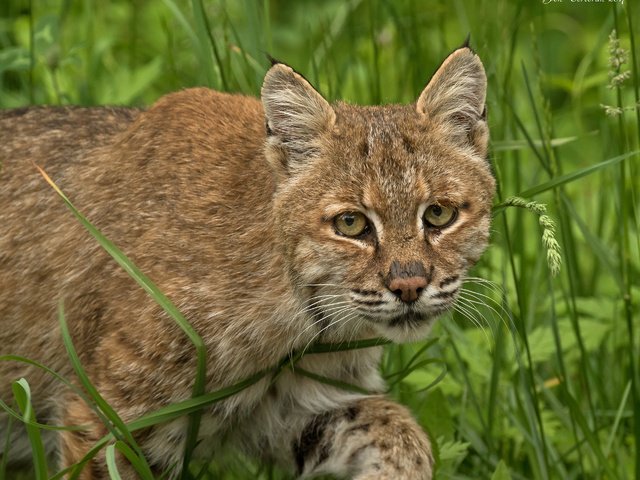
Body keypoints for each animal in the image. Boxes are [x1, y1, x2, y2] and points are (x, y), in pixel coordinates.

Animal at [0, 44, 496, 476]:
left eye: (439, 214)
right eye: (351, 224)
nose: (409, 286)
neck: (297, 316)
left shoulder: (293, 407)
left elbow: (402, 433)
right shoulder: (102, 417)